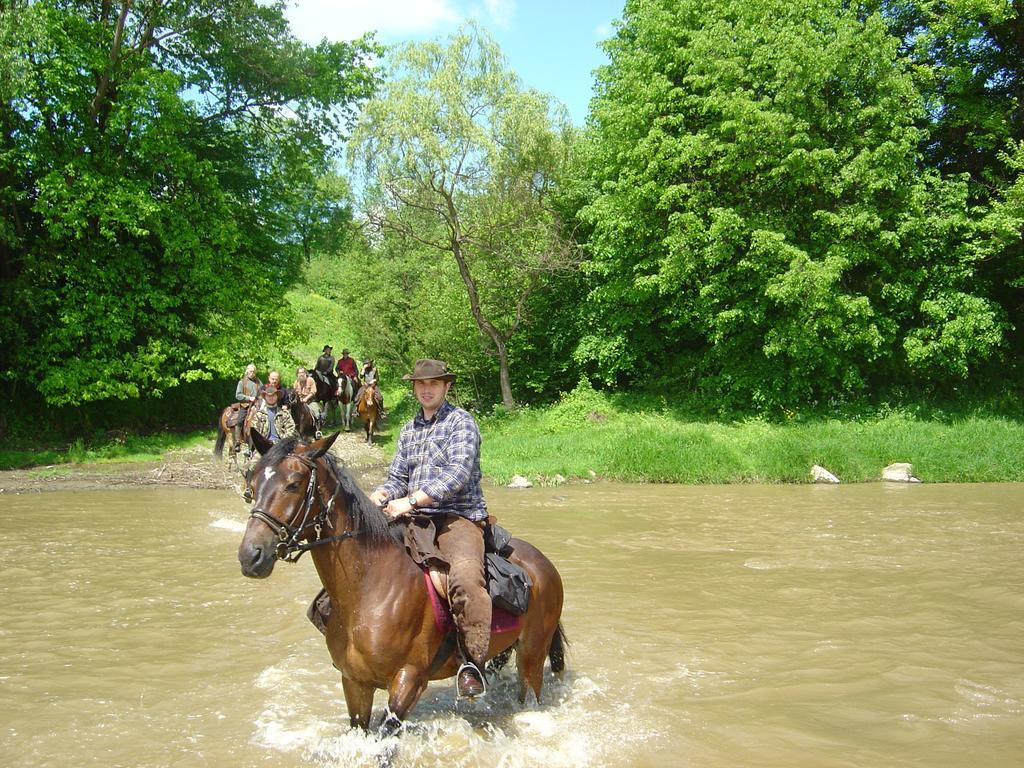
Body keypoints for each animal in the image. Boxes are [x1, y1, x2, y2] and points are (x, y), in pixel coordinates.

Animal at [235, 434, 565, 741]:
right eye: (251, 485)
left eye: (293, 484)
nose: (251, 556)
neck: (369, 590)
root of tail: (544, 564)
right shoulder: (354, 683)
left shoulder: (409, 680)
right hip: (500, 652)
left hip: (532, 654)